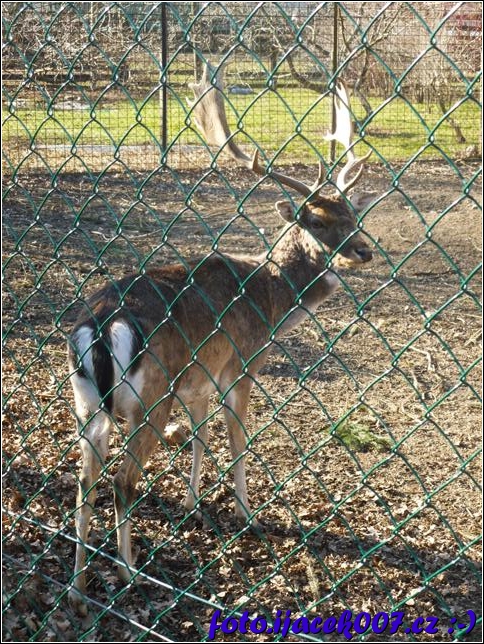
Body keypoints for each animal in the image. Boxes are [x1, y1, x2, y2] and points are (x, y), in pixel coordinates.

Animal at [67, 62, 375, 614]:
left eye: (351, 214)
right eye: (317, 220)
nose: (364, 250)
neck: (269, 301)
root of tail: (101, 327)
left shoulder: (198, 382)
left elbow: (200, 436)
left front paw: (192, 503)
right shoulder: (241, 364)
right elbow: (236, 437)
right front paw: (245, 511)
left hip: (87, 404)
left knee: (85, 483)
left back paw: (79, 585)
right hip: (149, 396)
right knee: (123, 481)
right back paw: (127, 572)